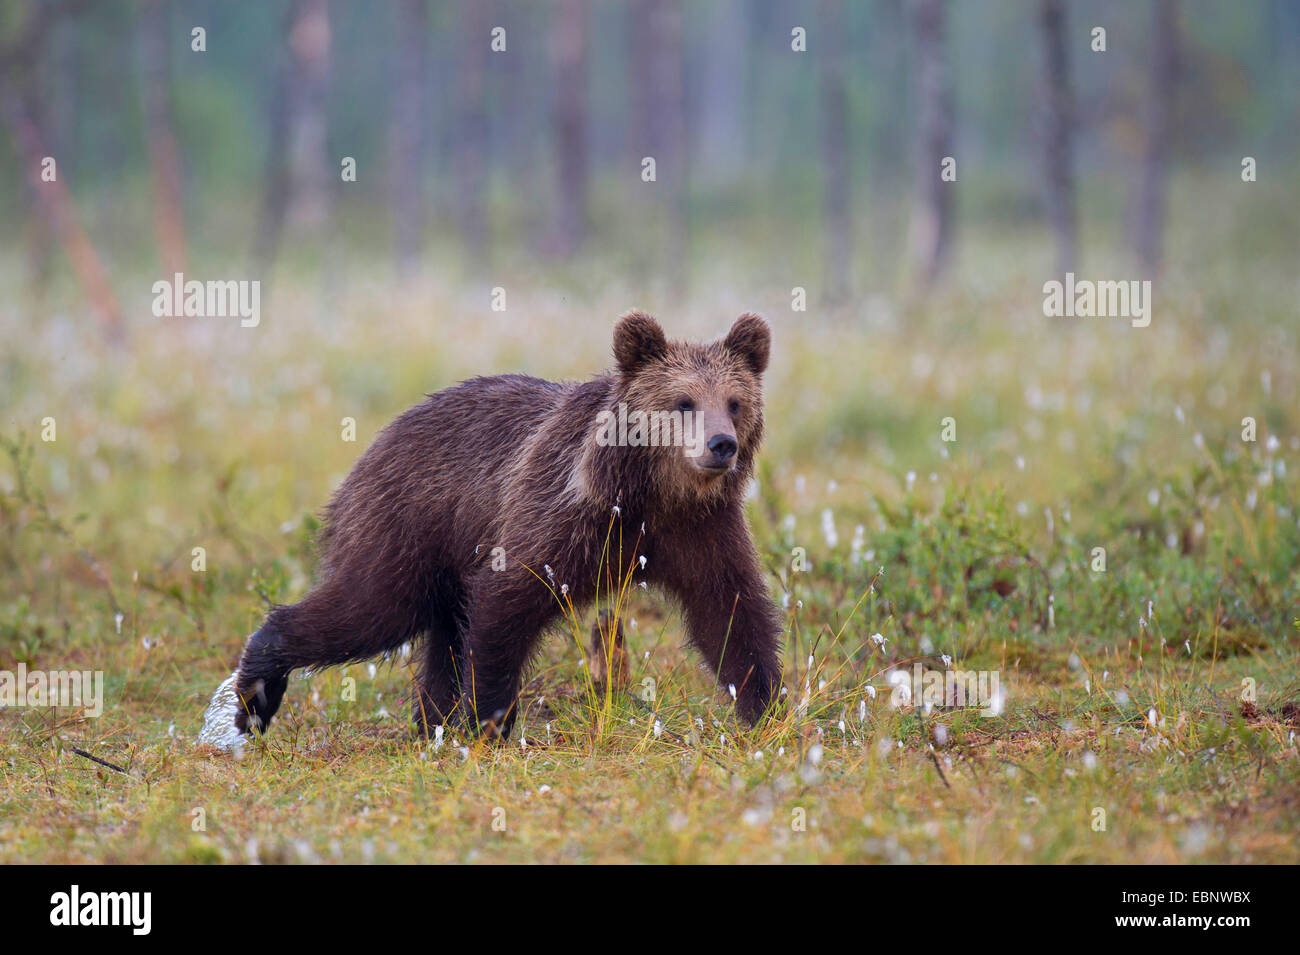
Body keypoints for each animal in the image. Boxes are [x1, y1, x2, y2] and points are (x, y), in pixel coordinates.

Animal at [198, 311, 783, 748]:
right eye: (683, 402)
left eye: (735, 402)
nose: (721, 445)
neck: (650, 496)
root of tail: (376, 442)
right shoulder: (557, 517)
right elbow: (507, 604)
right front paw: (490, 724)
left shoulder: (700, 530)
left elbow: (730, 614)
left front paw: (769, 707)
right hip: (406, 524)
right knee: (370, 608)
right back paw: (255, 694)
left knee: (440, 640)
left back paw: (428, 725)